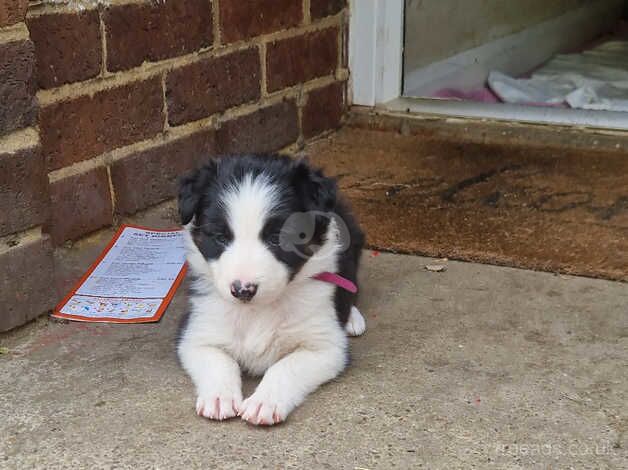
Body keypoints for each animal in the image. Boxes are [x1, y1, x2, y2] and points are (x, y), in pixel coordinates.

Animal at [177, 154, 366, 426]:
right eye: (220, 237)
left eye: (277, 238)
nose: (243, 289)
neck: (258, 310)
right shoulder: (197, 335)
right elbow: (219, 361)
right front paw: (219, 398)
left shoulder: (326, 348)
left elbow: (285, 367)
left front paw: (263, 402)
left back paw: (352, 318)